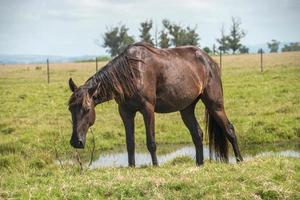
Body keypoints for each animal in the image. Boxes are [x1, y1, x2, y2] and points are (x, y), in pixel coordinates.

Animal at [68, 41, 244, 166]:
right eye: (70, 109)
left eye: (87, 108)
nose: (76, 142)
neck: (131, 73)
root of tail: (209, 61)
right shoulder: (125, 112)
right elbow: (130, 143)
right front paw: (131, 167)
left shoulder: (148, 109)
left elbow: (151, 142)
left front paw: (155, 165)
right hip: (186, 109)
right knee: (197, 134)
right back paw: (199, 164)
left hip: (215, 104)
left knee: (229, 129)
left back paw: (239, 160)